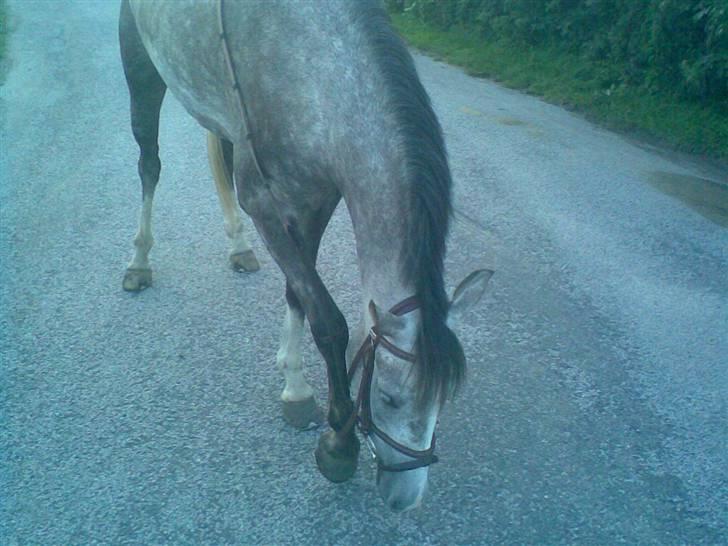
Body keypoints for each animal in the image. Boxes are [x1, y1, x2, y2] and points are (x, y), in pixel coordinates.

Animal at [119, 0, 492, 510]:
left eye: (442, 401)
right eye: (390, 398)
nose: (404, 498)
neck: (311, 69)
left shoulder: (316, 199)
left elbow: (299, 292)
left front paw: (293, 381)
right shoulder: (264, 203)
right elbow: (328, 321)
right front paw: (337, 443)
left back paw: (238, 246)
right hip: (142, 72)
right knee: (149, 164)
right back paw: (138, 263)